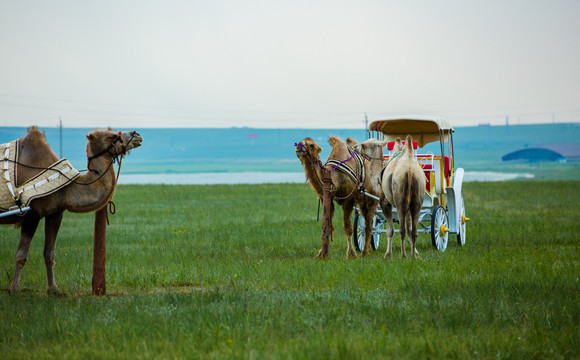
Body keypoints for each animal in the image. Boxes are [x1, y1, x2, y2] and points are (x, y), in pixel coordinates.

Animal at [1, 126, 142, 292]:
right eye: (112, 136)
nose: (136, 135)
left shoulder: (55, 213)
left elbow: (49, 253)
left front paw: (54, 289)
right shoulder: (31, 213)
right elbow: (22, 254)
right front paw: (15, 289)